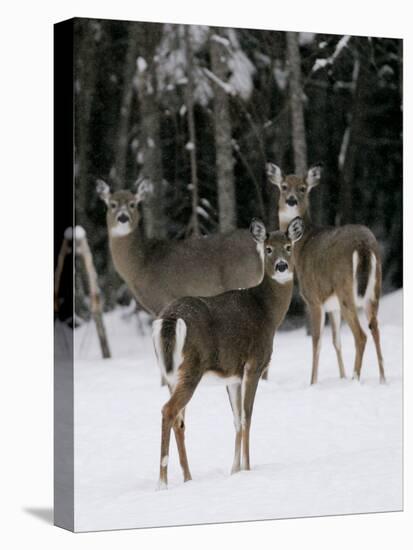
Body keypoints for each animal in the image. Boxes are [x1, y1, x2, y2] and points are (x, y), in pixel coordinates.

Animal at [96, 181, 264, 320]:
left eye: (133, 204)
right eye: (112, 204)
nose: (123, 217)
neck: (141, 264)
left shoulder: (162, 298)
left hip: (242, 279)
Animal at [151, 218, 302, 490]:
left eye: (288, 246)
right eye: (268, 249)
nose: (282, 266)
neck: (268, 312)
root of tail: (170, 318)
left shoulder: (233, 376)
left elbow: (235, 418)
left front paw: (234, 470)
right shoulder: (254, 364)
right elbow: (246, 417)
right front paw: (248, 469)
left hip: (169, 372)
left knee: (179, 419)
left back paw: (188, 478)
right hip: (192, 367)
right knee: (168, 410)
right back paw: (162, 482)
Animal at [266, 165, 384, 388]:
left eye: (303, 188)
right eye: (284, 186)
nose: (291, 200)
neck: (301, 247)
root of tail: (363, 244)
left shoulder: (313, 298)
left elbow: (317, 340)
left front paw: (313, 382)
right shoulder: (332, 305)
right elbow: (336, 341)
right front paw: (341, 376)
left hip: (345, 289)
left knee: (361, 335)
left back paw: (356, 379)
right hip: (373, 290)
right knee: (375, 328)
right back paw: (382, 379)